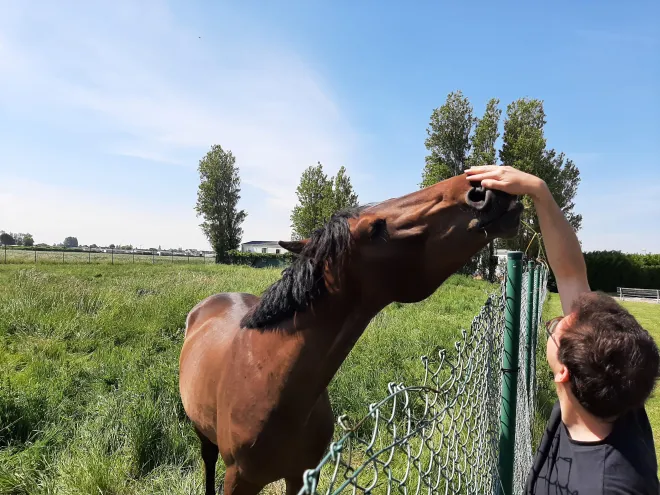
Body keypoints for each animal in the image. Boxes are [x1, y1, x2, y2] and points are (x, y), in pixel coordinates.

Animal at [179, 173, 523, 495]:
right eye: (374, 228)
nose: (482, 189)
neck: (269, 381)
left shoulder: (302, 476)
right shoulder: (239, 480)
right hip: (202, 434)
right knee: (207, 458)